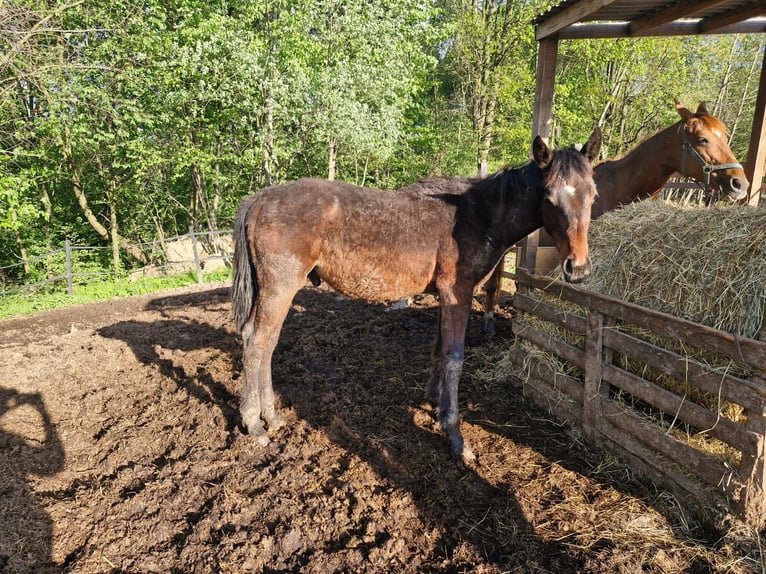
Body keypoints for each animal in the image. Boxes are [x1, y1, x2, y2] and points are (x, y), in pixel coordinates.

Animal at [231, 129, 601, 461]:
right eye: (549, 196)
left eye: (593, 194)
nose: (578, 268)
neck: (477, 215)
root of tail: (260, 199)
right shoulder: (457, 293)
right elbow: (454, 357)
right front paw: (455, 435)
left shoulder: (444, 296)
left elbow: (439, 349)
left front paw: (434, 402)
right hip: (279, 288)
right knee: (257, 342)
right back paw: (255, 423)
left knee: (264, 342)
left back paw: (271, 416)